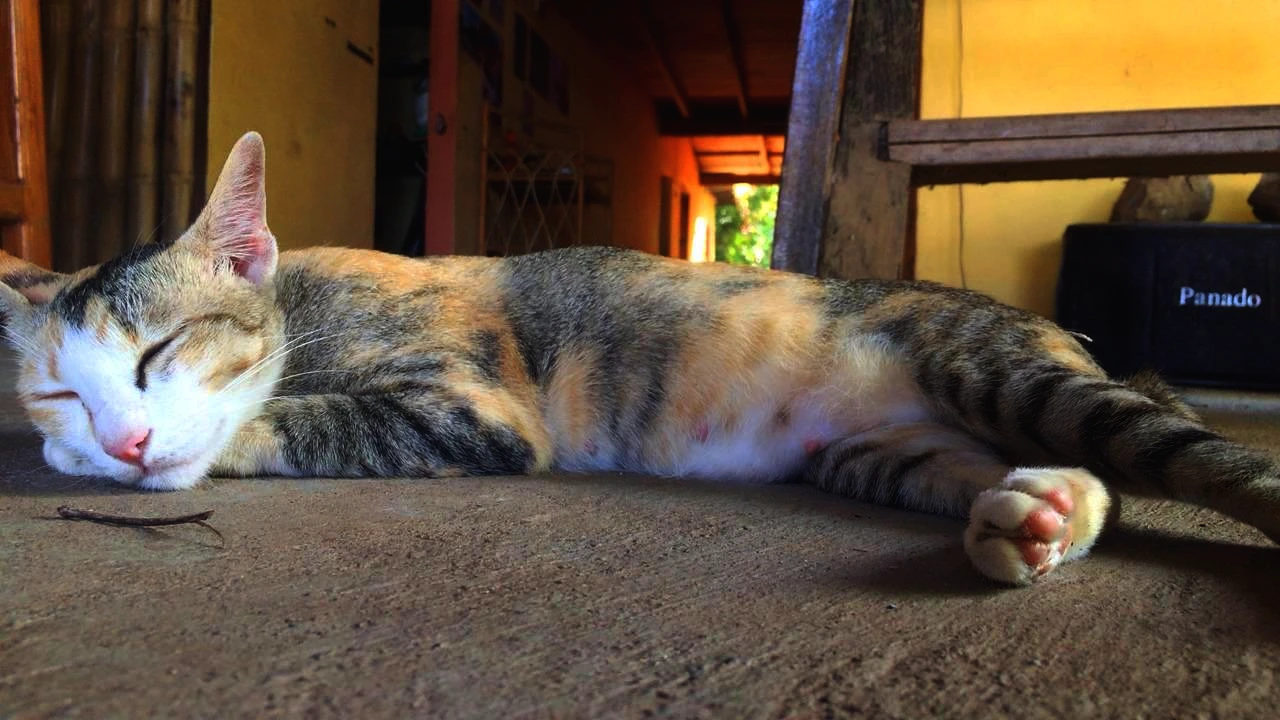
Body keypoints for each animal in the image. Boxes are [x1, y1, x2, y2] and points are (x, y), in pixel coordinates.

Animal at [3, 132, 1279, 586]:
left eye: (162, 351)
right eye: (61, 389)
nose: (122, 439)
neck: (304, 303)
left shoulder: (469, 403)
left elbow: (296, 422)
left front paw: (176, 451)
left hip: (999, 370)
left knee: (1196, 461)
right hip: (885, 452)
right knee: (1071, 481)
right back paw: (1033, 515)